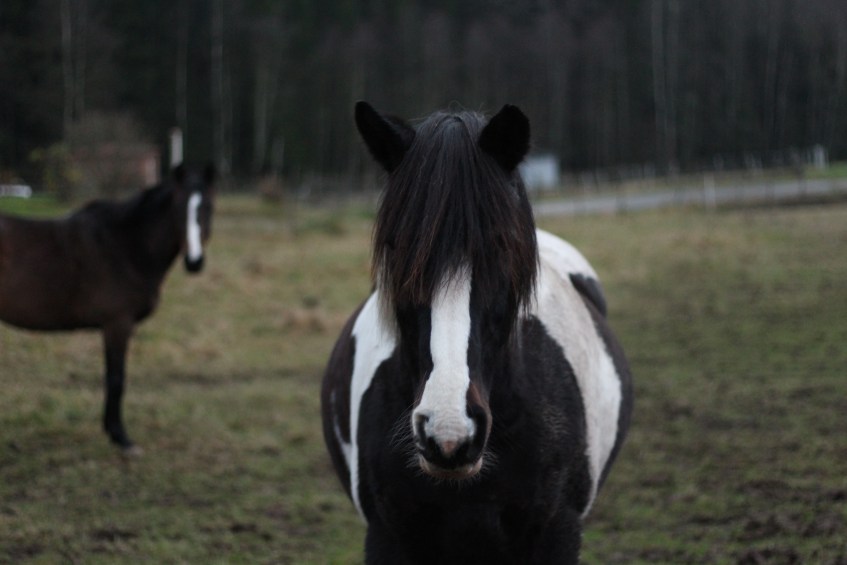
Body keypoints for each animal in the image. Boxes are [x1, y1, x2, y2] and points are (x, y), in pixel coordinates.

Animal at [0, 164, 215, 452]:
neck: (126, 245)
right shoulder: (117, 325)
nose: (194, 262)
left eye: (208, 207)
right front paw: (121, 437)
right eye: (179, 208)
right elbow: (116, 379)